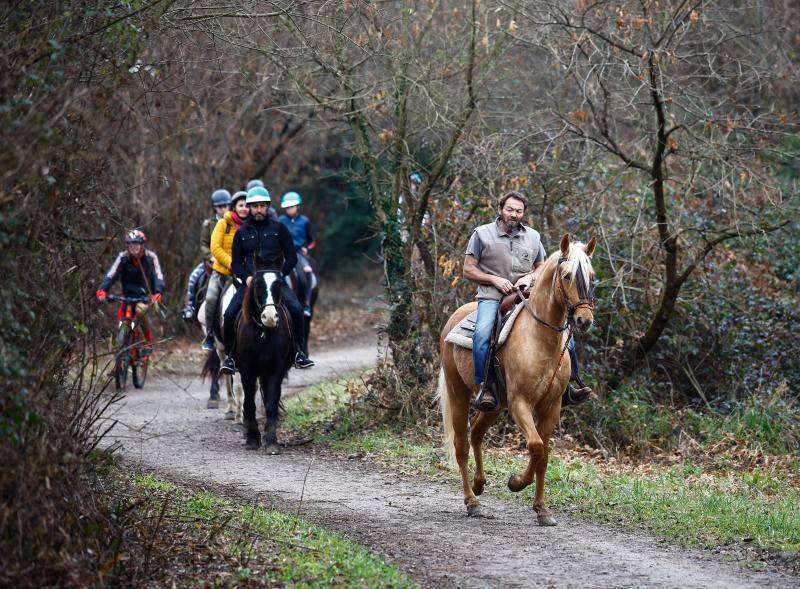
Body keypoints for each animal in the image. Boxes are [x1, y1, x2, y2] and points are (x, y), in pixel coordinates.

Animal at [236, 264, 296, 452]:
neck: (263, 333)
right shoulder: (246, 370)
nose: (269, 317)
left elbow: (271, 404)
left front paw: (271, 441)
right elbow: (249, 403)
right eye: (257, 284)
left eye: (279, 284)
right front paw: (252, 438)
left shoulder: (276, 369)